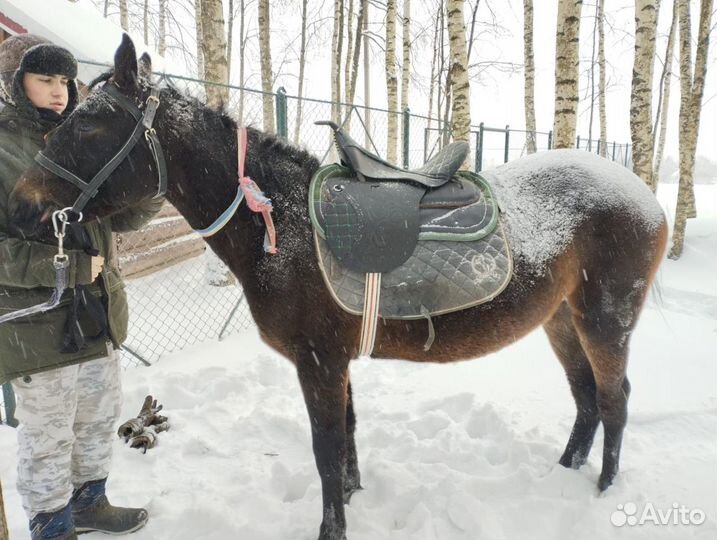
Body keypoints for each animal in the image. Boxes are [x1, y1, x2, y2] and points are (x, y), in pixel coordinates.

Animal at [8, 36, 668, 540]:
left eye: (89, 123)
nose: (19, 208)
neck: (283, 222)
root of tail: (643, 196)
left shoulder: (318, 361)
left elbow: (326, 451)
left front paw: (333, 526)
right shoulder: (335, 361)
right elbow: (346, 439)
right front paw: (353, 498)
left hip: (604, 320)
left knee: (614, 399)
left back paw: (602, 492)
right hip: (562, 319)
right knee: (586, 400)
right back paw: (563, 473)